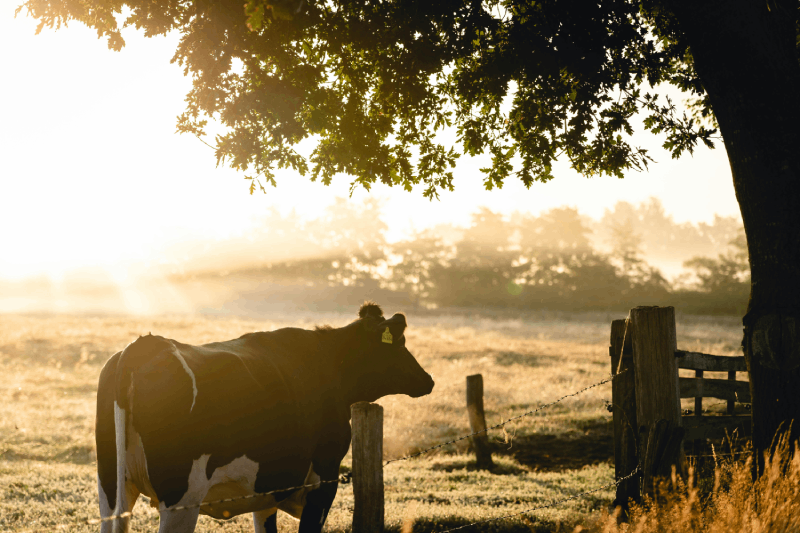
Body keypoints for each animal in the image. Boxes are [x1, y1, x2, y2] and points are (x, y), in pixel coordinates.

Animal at [96, 304, 434, 532]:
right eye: (400, 344)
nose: (428, 380)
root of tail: (144, 344)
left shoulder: (268, 489)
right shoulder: (323, 481)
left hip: (112, 489)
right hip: (180, 498)